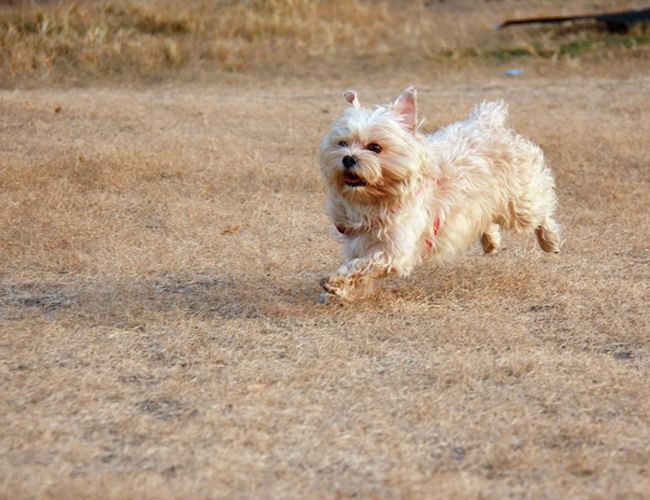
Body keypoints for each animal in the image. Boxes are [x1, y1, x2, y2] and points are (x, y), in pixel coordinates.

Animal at [318, 86, 556, 300]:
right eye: (342, 143)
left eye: (375, 148)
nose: (348, 158)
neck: (374, 200)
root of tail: (487, 121)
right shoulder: (357, 242)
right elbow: (358, 267)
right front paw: (347, 292)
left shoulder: (394, 250)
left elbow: (363, 265)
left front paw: (336, 282)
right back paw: (491, 241)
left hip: (520, 202)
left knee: (541, 211)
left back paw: (549, 240)